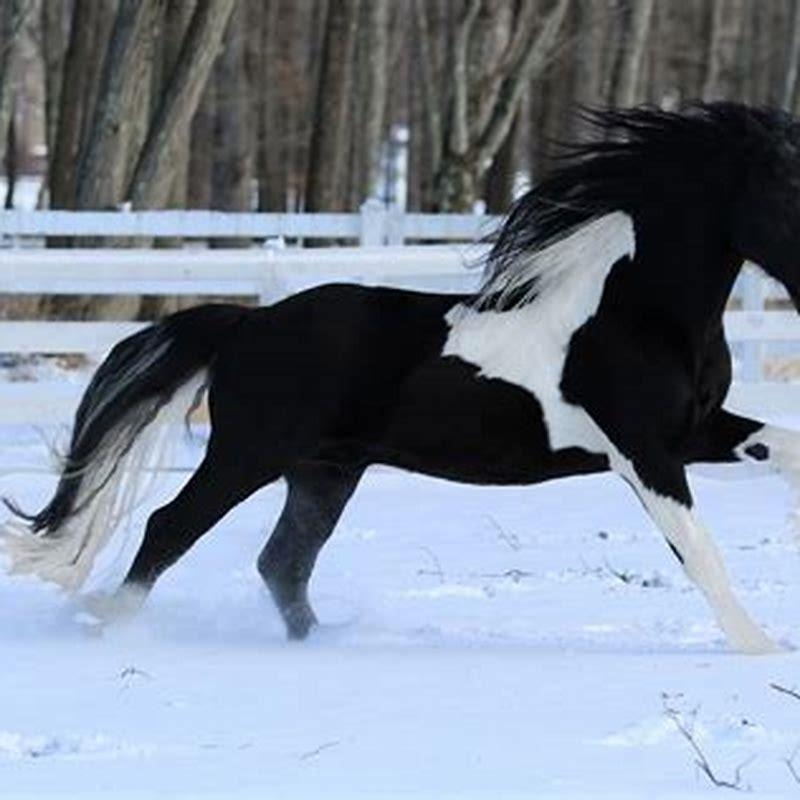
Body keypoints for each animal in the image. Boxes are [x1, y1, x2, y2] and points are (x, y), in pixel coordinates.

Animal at [3, 102, 800, 654]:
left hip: (324, 473)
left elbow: (782, 445)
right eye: (788, 187)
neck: (638, 310)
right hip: (246, 454)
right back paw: (107, 625)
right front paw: (760, 652)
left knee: (282, 563)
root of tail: (246, 324)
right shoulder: (644, 453)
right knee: (172, 527)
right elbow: (700, 554)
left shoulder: (697, 431)